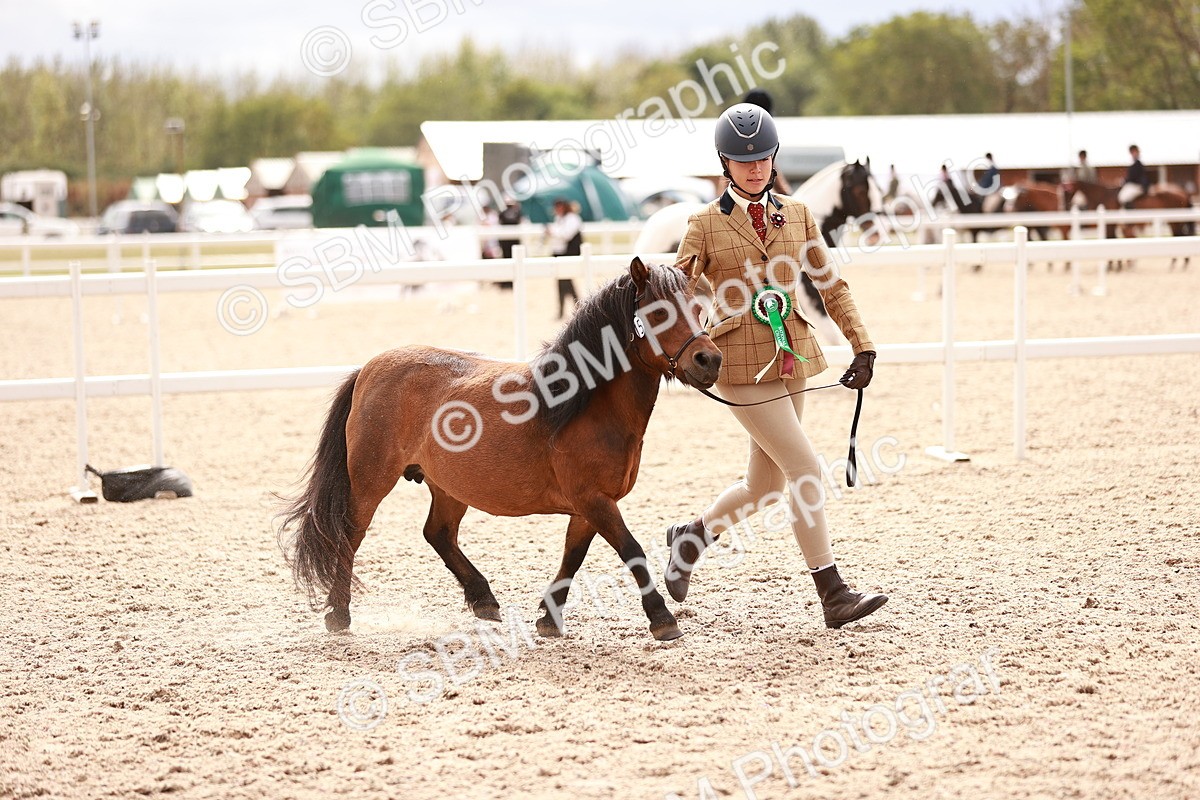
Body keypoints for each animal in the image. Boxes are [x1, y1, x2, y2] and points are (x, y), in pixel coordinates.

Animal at [277, 257, 723, 642]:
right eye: (660, 313)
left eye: (699, 308)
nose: (710, 360)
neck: (583, 404)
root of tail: (369, 368)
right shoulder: (594, 500)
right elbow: (631, 550)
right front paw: (662, 619)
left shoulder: (588, 507)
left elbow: (572, 557)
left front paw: (549, 617)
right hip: (371, 480)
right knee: (351, 534)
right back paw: (339, 613)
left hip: (448, 486)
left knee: (438, 533)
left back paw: (483, 599)